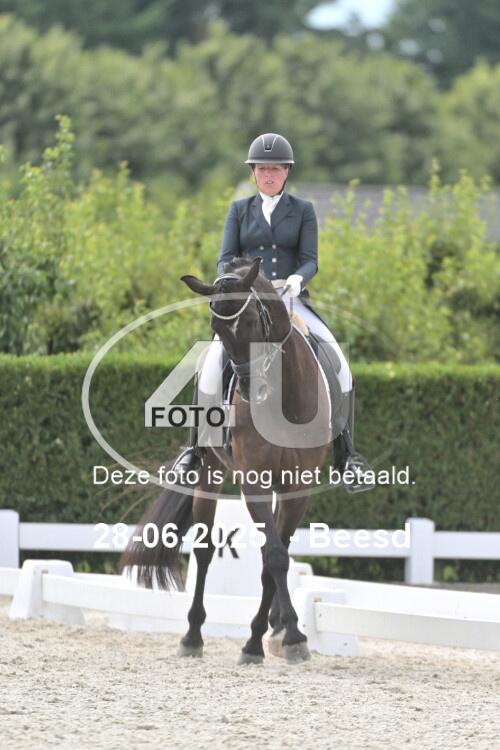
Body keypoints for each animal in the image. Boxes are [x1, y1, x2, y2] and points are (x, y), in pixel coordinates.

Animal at [120, 256, 331, 663]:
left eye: (252, 322)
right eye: (216, 328)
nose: (251, 390)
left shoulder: (297, 488)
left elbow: (275, 558)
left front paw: (275, 635)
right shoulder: (254, 482)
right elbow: (274, 556)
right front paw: (287, 637)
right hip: (209, 472)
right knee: (203, 551)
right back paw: (192, 636)